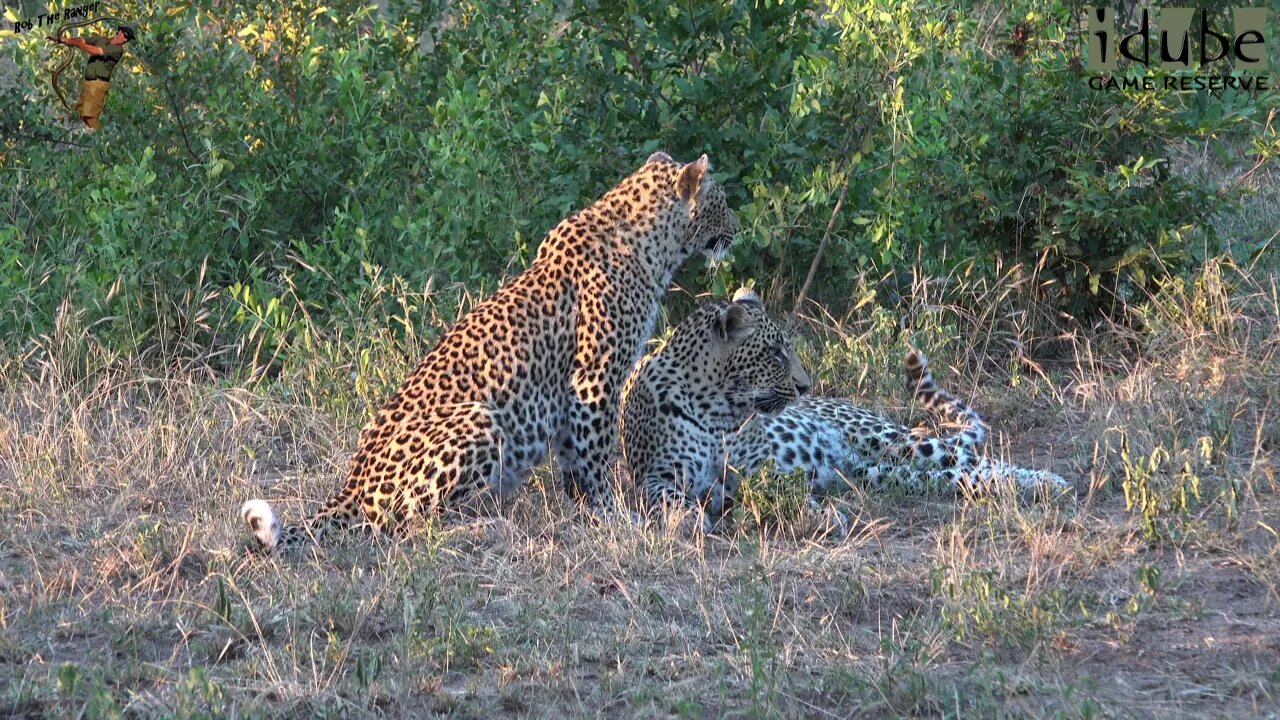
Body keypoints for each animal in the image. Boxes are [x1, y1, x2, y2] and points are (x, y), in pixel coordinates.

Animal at [241, 151, 742, 550]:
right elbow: (596, 457)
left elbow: (574, 461)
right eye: (722, 200)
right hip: (481, 419)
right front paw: (614, 514)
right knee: (406, 525)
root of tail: (349, 488)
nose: (736, 231)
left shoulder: (571, 397)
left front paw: (584, 510)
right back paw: (480, 527)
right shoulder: (594, 380)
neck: (650, 242)